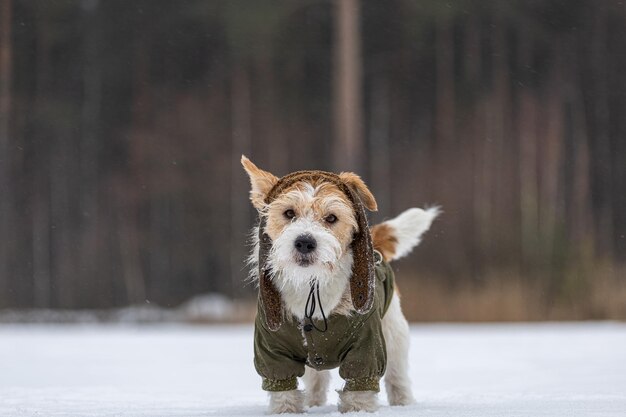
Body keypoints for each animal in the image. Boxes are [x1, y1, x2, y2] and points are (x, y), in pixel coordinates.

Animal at [241, 156, 436, 412]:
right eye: (289, 213)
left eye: (331, 218)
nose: (305, 242)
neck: (312, 284)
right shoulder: (272, 347)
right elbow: (284, 387)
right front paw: (286, 411)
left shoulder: (367, 344)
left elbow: (360, 384)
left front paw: (357, 411)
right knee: (316, 379)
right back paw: (314, 404)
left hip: (394, 333)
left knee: (397, 375)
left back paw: (403, 404)